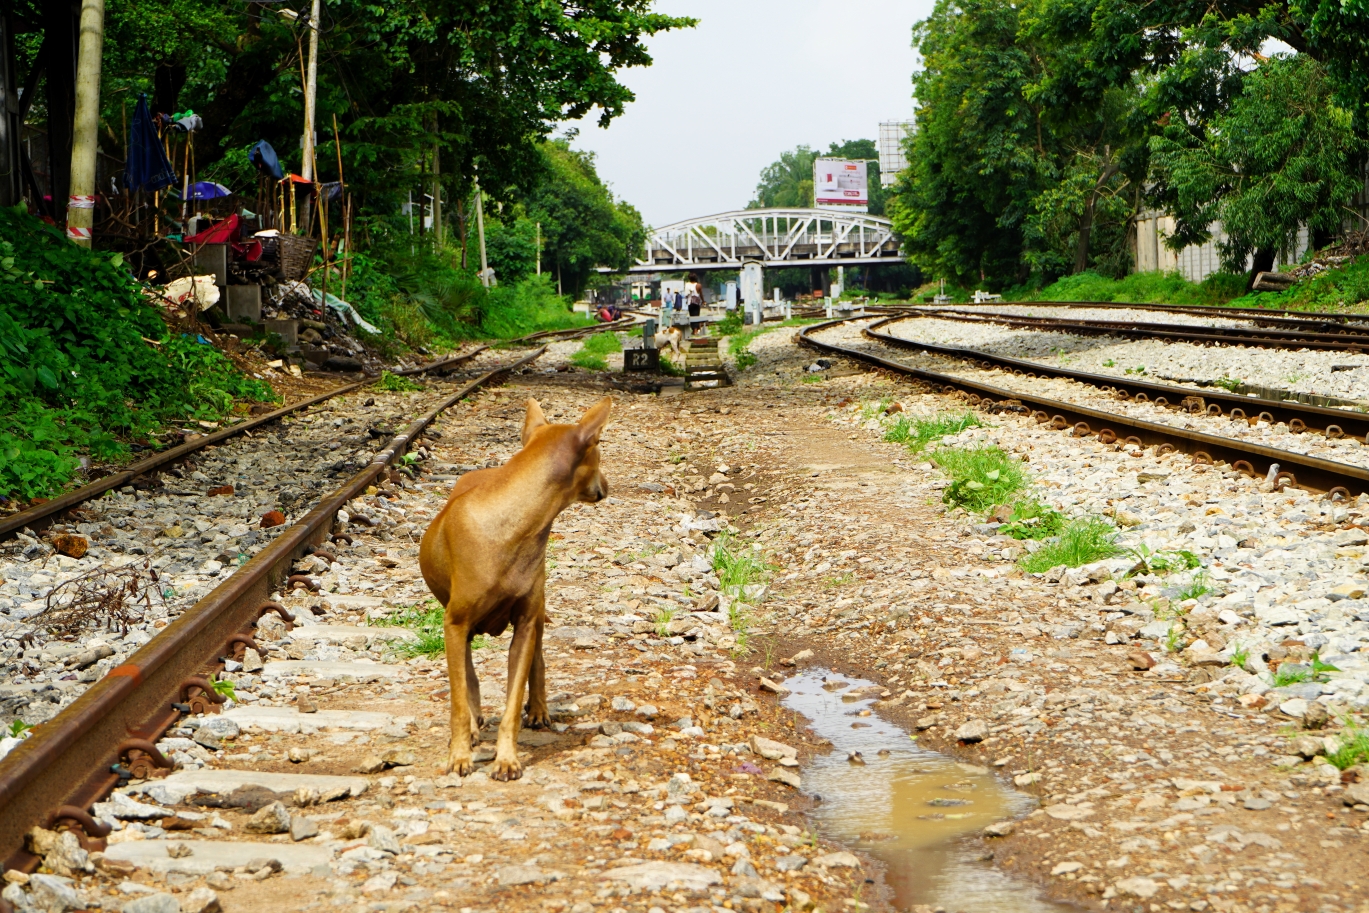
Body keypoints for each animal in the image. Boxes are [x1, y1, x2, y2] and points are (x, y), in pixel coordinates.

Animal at [416, 396, 610, 782]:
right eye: (599, 449)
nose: (608, 485)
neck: (514, 522)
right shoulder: (455, 622)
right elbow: (459, 696)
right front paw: (459, 753)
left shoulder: (525, 623)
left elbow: (513, 699)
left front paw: (507, 759)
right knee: (469, 673)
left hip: (538, 612)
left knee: (538, 659)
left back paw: (537, 709)